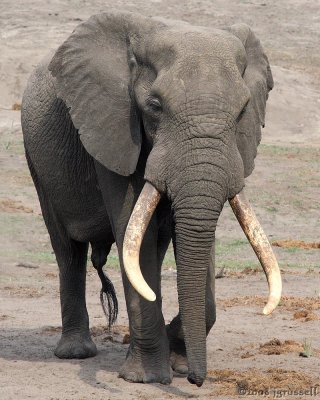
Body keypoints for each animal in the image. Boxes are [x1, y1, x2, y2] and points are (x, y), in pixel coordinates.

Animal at [21, 12, 282, 388]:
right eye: (155, 107)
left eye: (243, 110)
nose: (197, 380)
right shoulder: (114, 126)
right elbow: (131, 227)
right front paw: (147, 378)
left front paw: (179, 363)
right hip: (38, 164)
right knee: (68, 250)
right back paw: (76, 353)